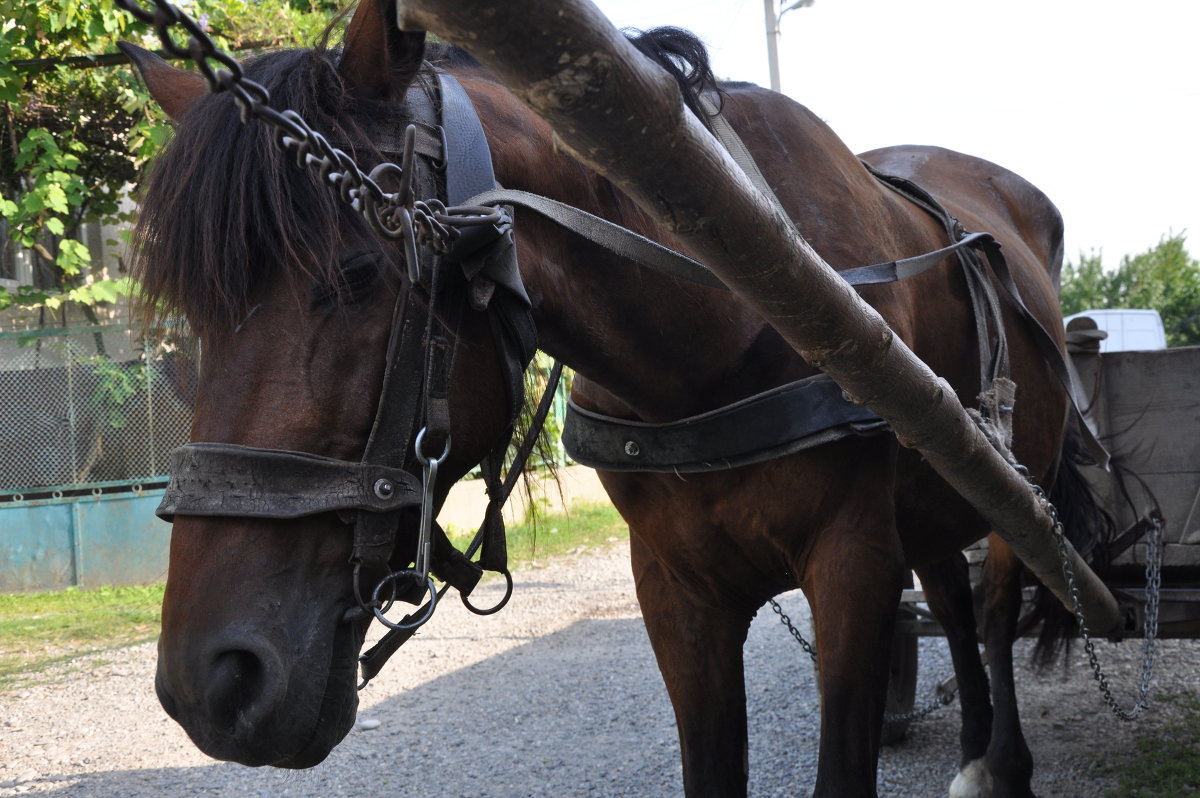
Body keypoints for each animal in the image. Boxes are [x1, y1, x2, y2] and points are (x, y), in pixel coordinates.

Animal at [126, 3, 1099, 792]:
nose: (211, 683)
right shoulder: (673, 589)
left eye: (359, 273)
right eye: (198, 318)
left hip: (1014, 498)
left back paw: (1002, 761)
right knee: (953, 599)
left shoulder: (853, 562)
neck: (743, 302)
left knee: (997, 610)